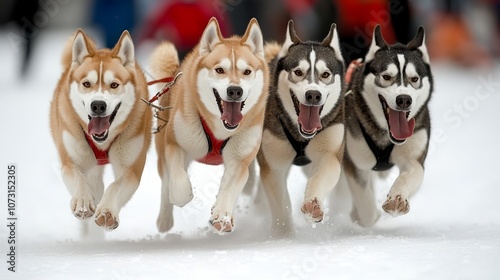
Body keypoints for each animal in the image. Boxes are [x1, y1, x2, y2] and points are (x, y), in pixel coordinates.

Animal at [51, 29, 153, 230]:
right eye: (86, 84)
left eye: (114, 84)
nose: (98, 105)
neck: (102, 142)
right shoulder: (70, 161)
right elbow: (79, 178)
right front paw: (83, 201)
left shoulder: (131, 169)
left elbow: (115, 186)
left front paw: (107, 211)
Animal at [150, 18, 270, 234]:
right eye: (219, 70)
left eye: (247, 71)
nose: (235, 91)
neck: (219, 130)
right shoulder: (175, 144)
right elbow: (178, 181)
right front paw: (182, 196)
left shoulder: (239, 161)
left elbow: (230, 188)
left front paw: (222, 215)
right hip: (163, 149)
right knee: (165, 183)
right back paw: (164, 221)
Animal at [256, 20, 346, 234]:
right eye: (298, 72)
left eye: (325, 74)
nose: (313, 95)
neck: (300, 134)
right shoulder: (273, 165)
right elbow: (281, 207)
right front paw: (284, 234)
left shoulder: (329, 152)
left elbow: (320, 177)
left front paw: (314, 205)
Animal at [346, 25, 432, 228]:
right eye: (386, 77)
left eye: (414, 79)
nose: (404, 100)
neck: (386, 134)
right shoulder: (355, 162)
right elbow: (367, 209)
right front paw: (366, 215)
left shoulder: (414, 159)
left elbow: (408, 175)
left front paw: (396, 198)